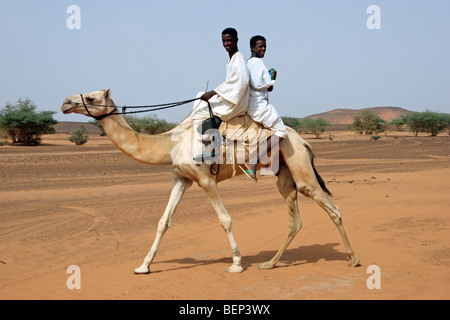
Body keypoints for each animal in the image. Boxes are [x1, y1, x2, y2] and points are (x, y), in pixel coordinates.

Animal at [61, 89, 360, 274]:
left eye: (90, 96)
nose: (65, 101)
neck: (172, 142)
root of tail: (304, 141)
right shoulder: (181, 179)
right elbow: (163, 221)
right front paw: (143, 266)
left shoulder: (206, 180)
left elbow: (225, 219)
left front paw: (236, 264)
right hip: (284, 175)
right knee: (294, 219)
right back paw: (270, 264)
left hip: (299, 165)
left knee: (332, 207)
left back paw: (354, 258)